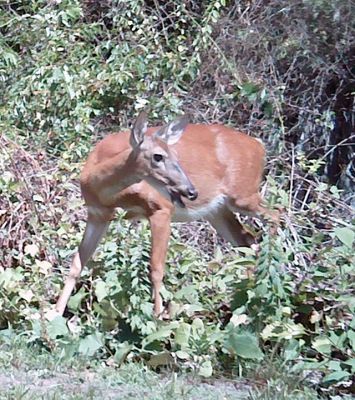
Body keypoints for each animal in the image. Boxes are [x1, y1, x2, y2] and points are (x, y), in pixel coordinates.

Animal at [55, 111, 278, 320]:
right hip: (218, 211)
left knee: (277, 215)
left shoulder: (161, 209)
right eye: (158, 156)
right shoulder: (97, 215)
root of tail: (260, 147)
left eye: (176, 156)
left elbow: (156, 268)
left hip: (243, 194)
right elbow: (77, 263)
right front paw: (55, 313)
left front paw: (157, 316)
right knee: (248, 241)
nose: (191, 191)